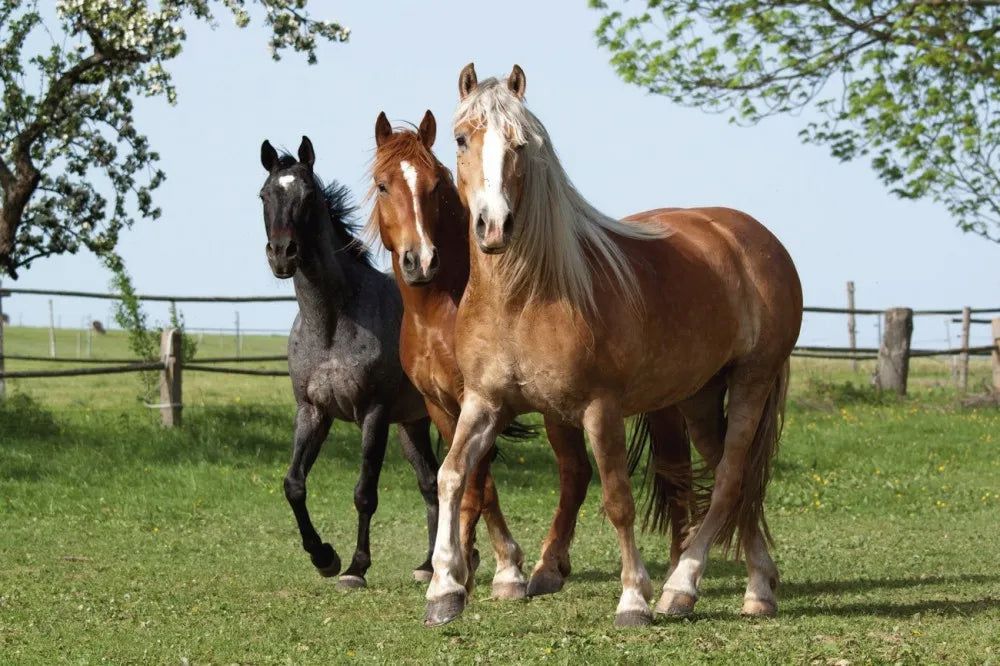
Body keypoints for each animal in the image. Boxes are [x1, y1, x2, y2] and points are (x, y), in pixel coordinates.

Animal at [259, 136, 441, 589]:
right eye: (265, 195)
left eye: (308, 196)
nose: (282, 254)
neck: (331, 323)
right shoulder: (312, 411)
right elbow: (293, 484)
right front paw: (324, 557)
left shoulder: (373, 414)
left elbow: (364, 493)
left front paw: (356, 568)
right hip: (413, 425)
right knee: (432, 483)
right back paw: (429, 565)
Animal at [367, 113, 698, 603]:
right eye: (383, 185)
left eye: (435, 185)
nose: (420, 260)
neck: (439, 311)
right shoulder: (442, 406)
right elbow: (468, 481)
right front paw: (466, 564)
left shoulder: (479, 401)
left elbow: (479, 484)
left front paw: (499, 568)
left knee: (654, 471)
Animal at [422, 64, 802, 628]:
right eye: (462, 139)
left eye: (521, 144)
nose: (494, 226)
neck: (524, 297)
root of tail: (756, 239)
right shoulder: (483, 403)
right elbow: (452, 475)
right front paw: (445, 588)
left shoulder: (601, 409)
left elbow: (618, 500)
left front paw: (634, 599)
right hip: (700, 397)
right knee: (729, 482)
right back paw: (756, 587)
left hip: (752, 381)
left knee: (731, 479)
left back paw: (680, 587)